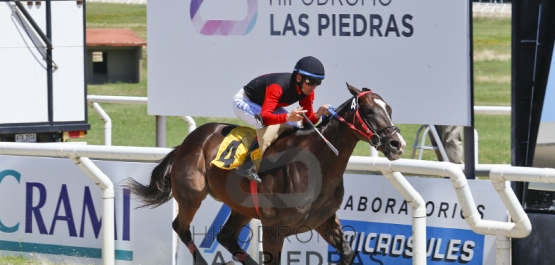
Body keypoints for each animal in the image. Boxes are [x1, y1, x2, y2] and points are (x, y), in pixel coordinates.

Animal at [125, 83, 404, 264]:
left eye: (390, 109)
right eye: (368, 111)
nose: (397, 144)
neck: (317, 168)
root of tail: (186, 143)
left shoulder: (324, 220)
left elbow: (347, 253)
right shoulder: (274, 228)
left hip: (241, 206)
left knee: (226, 237)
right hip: (191, 194)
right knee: (180, 227)